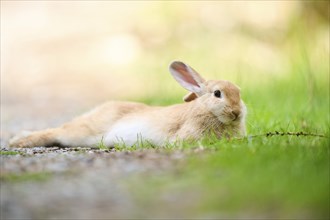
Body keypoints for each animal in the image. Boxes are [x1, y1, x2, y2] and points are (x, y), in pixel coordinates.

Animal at [9, 61, 246, 149]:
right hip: (82, 132)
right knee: (57, 132)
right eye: (217, 94)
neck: (207, 110)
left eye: (239, 93)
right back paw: (18, 141)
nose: (236, 112)